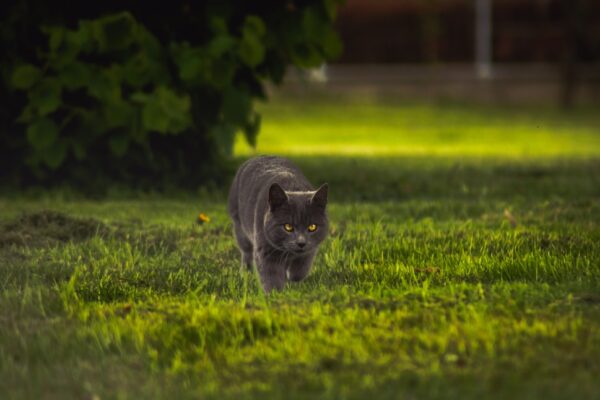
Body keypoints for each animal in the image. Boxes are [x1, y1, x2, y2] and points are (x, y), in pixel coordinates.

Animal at [227, 155, 328, 292]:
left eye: (312, 227)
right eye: (288, 227)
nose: (301, 243)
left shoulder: (311, 249)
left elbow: (302, 266)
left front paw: (293, 277)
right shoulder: (266, 250)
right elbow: (271, 275)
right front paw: (275, 293)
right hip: (239, 225)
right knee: (246, 252)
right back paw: (246, 272)